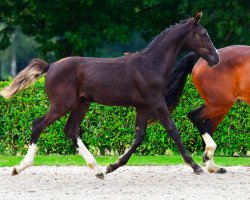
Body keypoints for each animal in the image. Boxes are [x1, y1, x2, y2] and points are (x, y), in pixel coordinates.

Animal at [0, 12, 219, 178]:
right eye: (203, 33)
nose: (216, 58)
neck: (151, 64)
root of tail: (50, 66)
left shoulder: (143, 106)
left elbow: (139, 135)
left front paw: (112, 166)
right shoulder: (156, 102)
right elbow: (173, 130)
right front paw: (196, 166)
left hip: (81, 103)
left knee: (71, 130)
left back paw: (97, 169)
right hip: (62, 104)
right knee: (38, 124)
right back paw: (19, 167)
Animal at [157, 45, 249, 173]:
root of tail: (201, 58)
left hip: (220, 105)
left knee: (207, 127)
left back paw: (213, 166)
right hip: (220, 103)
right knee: (194, 116)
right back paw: (208, 155)